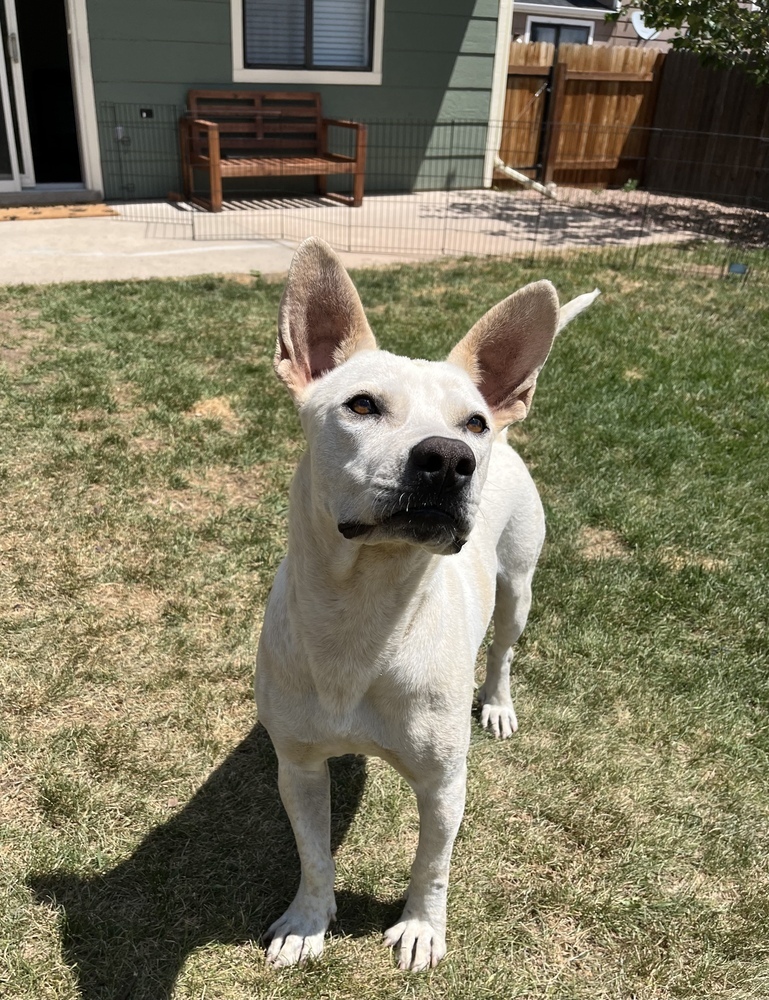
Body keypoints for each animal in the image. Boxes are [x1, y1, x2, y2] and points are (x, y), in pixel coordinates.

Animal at [255, 238, 596, 972]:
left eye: (470, 421)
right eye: (360, 405)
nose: (450, 457)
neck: (365, 612)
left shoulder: (444, 784)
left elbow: (431, 863)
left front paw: (420, 927)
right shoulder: (298, 766)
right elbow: (312, 854)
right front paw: (306, 922)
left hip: (518, 585)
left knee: (503, 649)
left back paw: (496, 704)